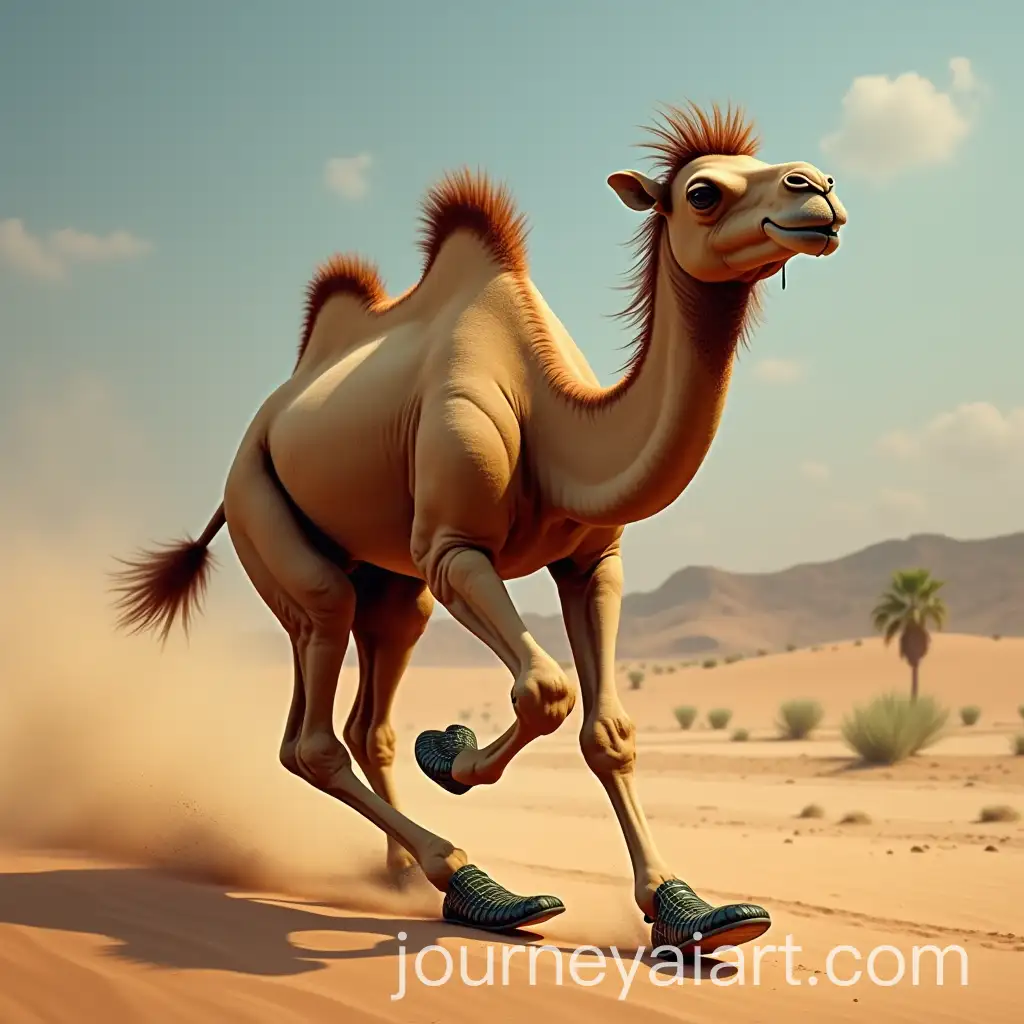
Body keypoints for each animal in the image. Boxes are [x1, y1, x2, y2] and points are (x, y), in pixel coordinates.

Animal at [112, 102, 847, 953]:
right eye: (701, 192)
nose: (818, 189)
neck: (559, 427)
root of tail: (256, 432)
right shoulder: (454, 547)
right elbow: (546, 691)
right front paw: (451, 754)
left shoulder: (592, 561)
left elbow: (608, 729)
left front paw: (691, 911)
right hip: (271, 522)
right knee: (313, 729)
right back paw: (472, 881)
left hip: (389, 587)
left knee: (366, 716)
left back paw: (407, 875)